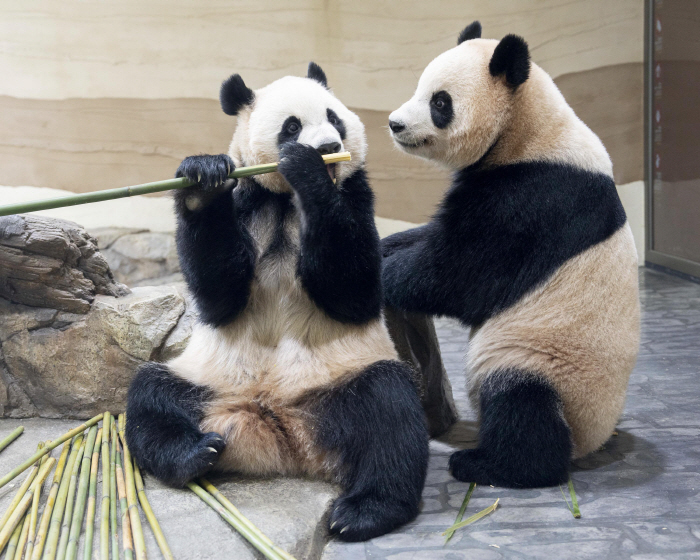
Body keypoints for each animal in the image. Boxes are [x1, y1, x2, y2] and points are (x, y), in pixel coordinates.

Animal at [125, 62, 429, 541]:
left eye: (335, 118)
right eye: (291, 126)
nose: (329, 147)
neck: (286, 199)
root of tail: (279, 432)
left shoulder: (357, 196)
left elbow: (355, 293)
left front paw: (311, 170)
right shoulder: (249, 202)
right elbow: (219, 296)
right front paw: (202, 180)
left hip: (339, 383)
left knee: (390, 411)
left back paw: (364, 512)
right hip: (209, 382)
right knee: (149, 397)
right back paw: (193, 455)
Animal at [382, 21, 640, 488]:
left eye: (440, 102)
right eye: (419, 88)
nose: (395, 123)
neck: (528, 130)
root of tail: (593, 438)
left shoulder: (532, 197)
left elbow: (460, 275)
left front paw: (380, 271)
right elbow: (433, 241)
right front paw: (382, 246)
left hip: (546, 360)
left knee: (521, 402)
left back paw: (488, 465)